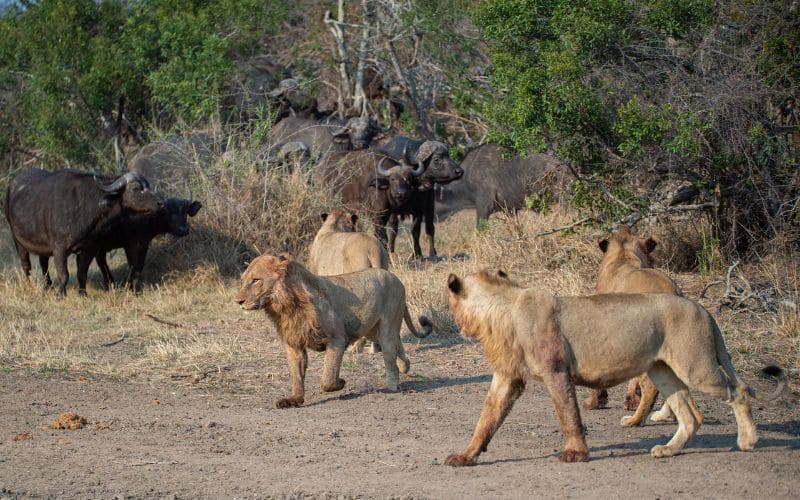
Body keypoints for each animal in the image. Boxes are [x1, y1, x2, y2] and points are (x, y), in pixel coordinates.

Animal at [4, 169, 165, 296]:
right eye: (136, 188)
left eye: (148, 186)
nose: (161, 202)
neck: (85, 206)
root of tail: (11, 186)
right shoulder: (59, 248)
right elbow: (64, 274)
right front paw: (61, 295)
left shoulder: (89, 248)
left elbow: (82, 273)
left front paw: (83, 293)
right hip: (17, 240)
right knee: (26, 266)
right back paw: (31, 285)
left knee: (43, 264)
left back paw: (48, 287)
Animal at [234, 253, 432, 408]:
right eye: (243, 281)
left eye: (256, 280)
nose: (238, 301)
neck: (285, 306)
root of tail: (396, 278)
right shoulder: (294, 344)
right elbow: (296, 376)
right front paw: (294, 400)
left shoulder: (336, 338)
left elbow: (327, 378)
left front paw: (340, 382)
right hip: (372, 330)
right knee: (398, 346)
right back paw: (405, 366)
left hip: (386, 328)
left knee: (390, 356)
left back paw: (391, 386)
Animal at [444, 268, 784, 465]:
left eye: (451, 305)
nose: (456, 325)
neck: (501, 310)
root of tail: (703, 308)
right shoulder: (507, 377)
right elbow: (486, 420)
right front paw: (466, 455)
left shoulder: (556, 371)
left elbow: (568, 415)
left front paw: (576, 454)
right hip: (663, 371)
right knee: (690, 417)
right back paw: (668, 450)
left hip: (696, 367)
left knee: (739, 391)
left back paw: (747, 441)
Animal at [587, 226, 700, 429]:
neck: (624, 257)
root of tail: (672, 293)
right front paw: (630, 399)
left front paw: (595, 401)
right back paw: (664, 415)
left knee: (651, 386)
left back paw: (634, 420)